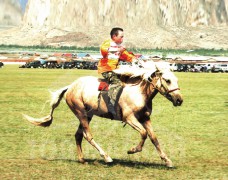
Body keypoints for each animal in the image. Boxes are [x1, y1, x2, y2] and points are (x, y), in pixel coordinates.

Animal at [23, 60, 183, 167]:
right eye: (167, 80)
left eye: (176, 79)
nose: (179, 100)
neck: (139, 92)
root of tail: (70, 87)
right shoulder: (130, 118)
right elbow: (144, 133)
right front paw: (133, 150)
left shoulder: (145, 118)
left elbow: (153, 138)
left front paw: (167, 160)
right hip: (81, 113)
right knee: (88, 135)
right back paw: (106, 157)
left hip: (87, 115)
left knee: (78, 135)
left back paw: (82, 159)